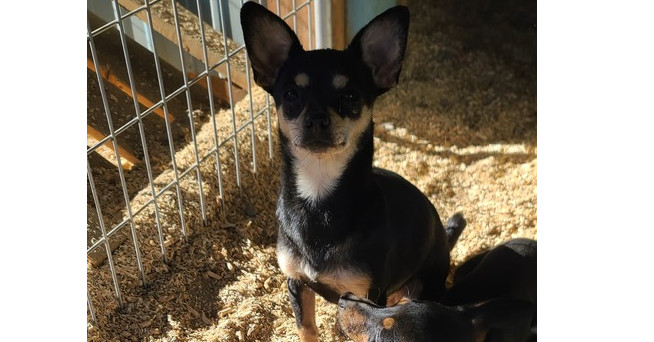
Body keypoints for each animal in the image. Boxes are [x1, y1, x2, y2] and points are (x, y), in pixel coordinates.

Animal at [242, 2, 466, 340]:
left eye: (350, 96)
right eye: (291, 95)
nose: (316, 118)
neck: (318, 195)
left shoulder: (365, 294)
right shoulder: (296, 283)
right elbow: (306, 327)